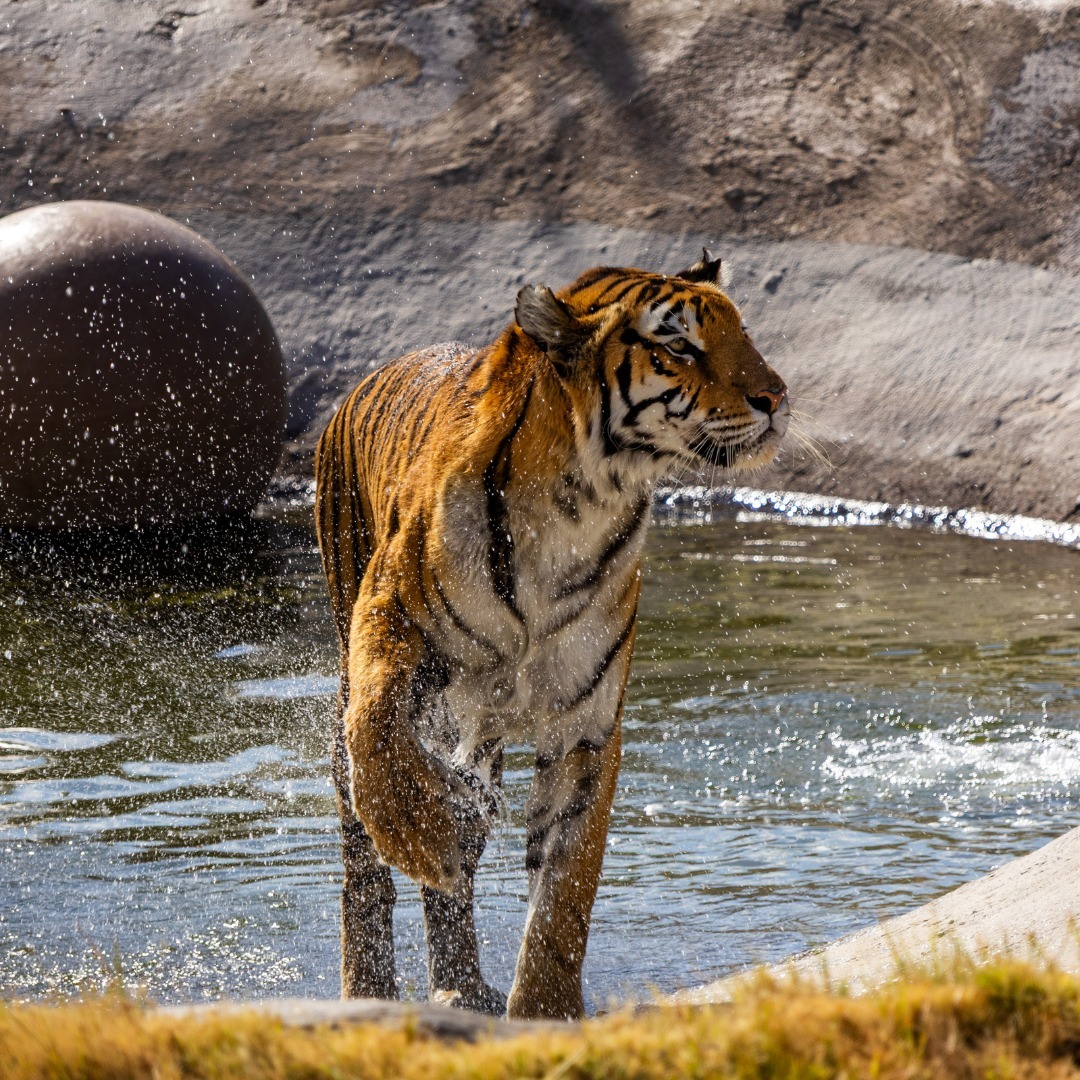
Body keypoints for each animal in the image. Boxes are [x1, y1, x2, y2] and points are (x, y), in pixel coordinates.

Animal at [314, 250, 789, 1020]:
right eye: (680, 346)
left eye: (741, 334)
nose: (777, 397)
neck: (578, 503)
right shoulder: (387, 616)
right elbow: (378, 733)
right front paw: (418, 832)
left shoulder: (585, 722)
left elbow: (565, 887)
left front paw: (544, 1012)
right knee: (363, 863)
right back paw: (370, 990)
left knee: (460, 868)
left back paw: (462, 985)